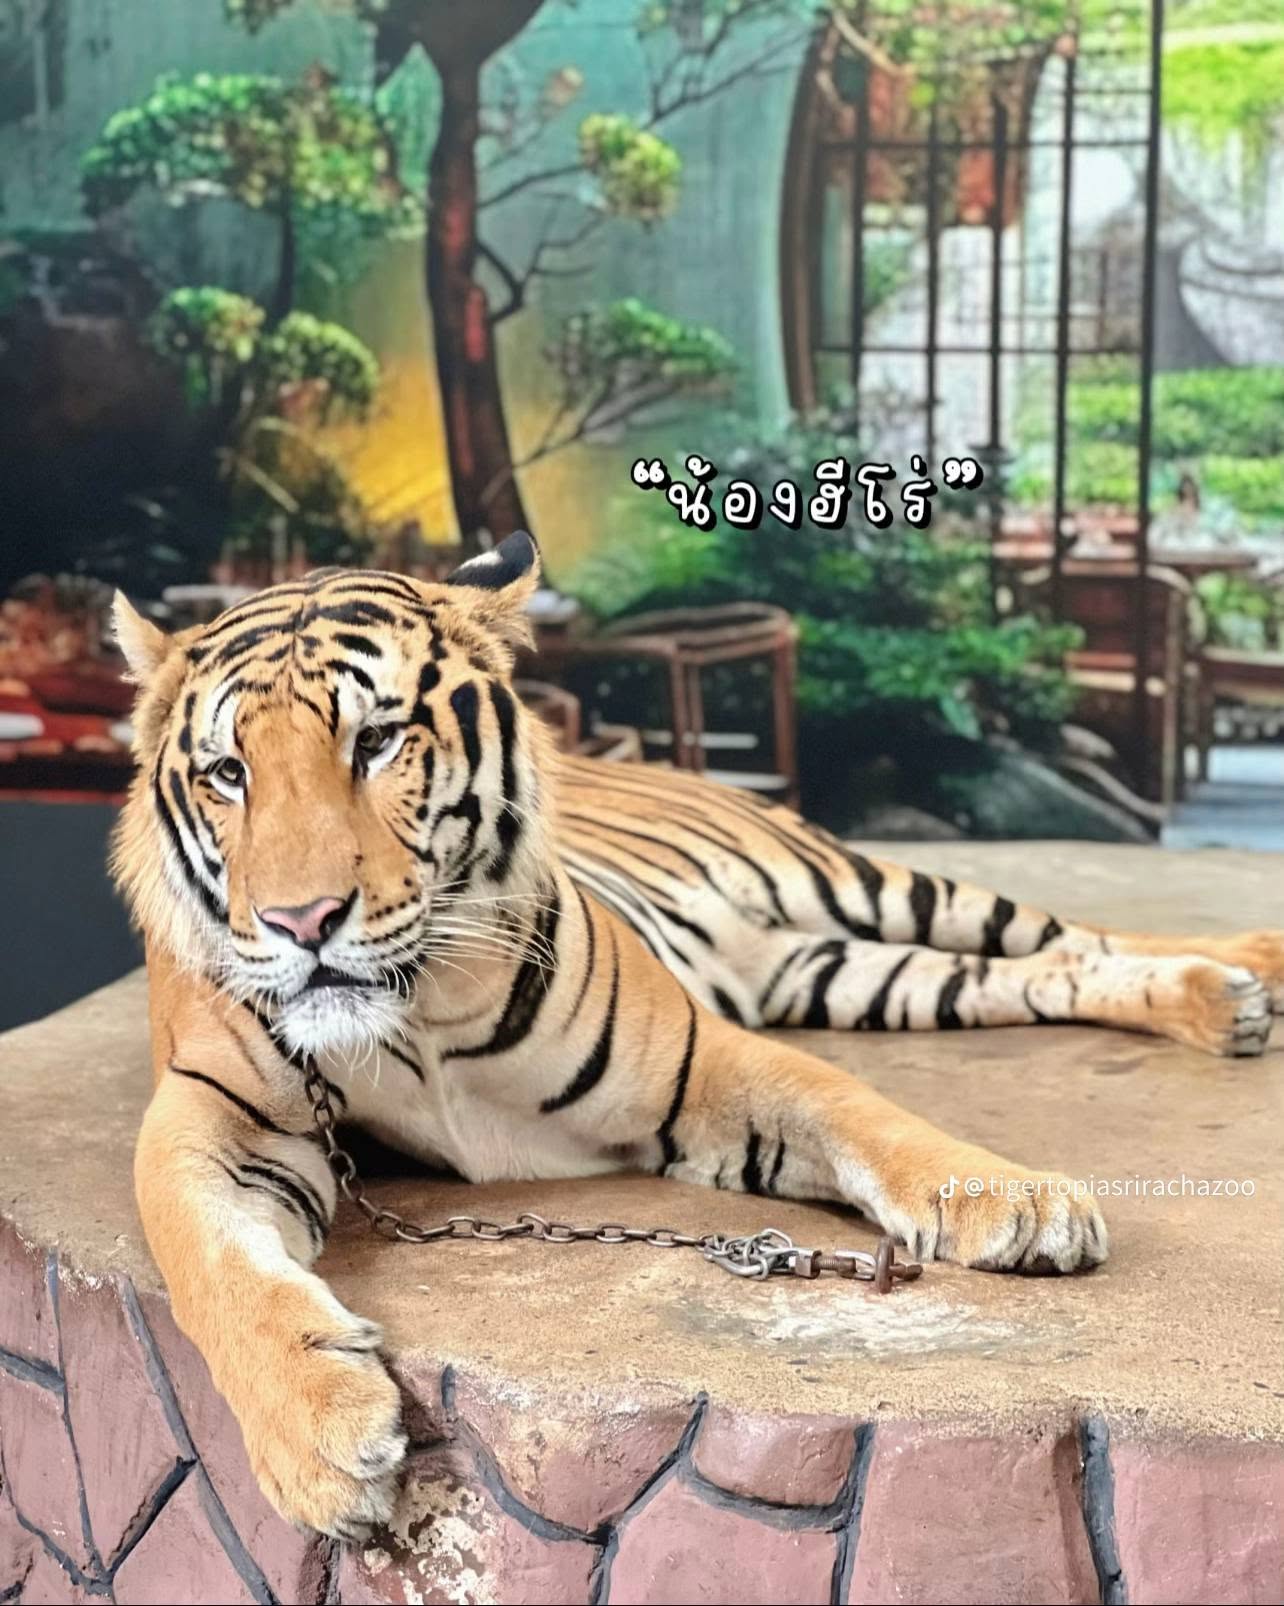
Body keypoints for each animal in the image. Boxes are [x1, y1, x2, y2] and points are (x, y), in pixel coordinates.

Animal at [110, 530, 1283, 1540]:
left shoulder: (701, 1063)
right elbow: (204, 1258)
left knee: (1073, 932)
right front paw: (315, 1442)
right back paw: (1226, 1000)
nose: (301, 923)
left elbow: (872, 1117)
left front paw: (1016, 1199)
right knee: (1045, 970)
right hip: (852, 973)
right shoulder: (213, 1121)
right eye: (227, 772)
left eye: (378, 740)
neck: (414, 1022)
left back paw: (1251, 969)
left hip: (871, 885)